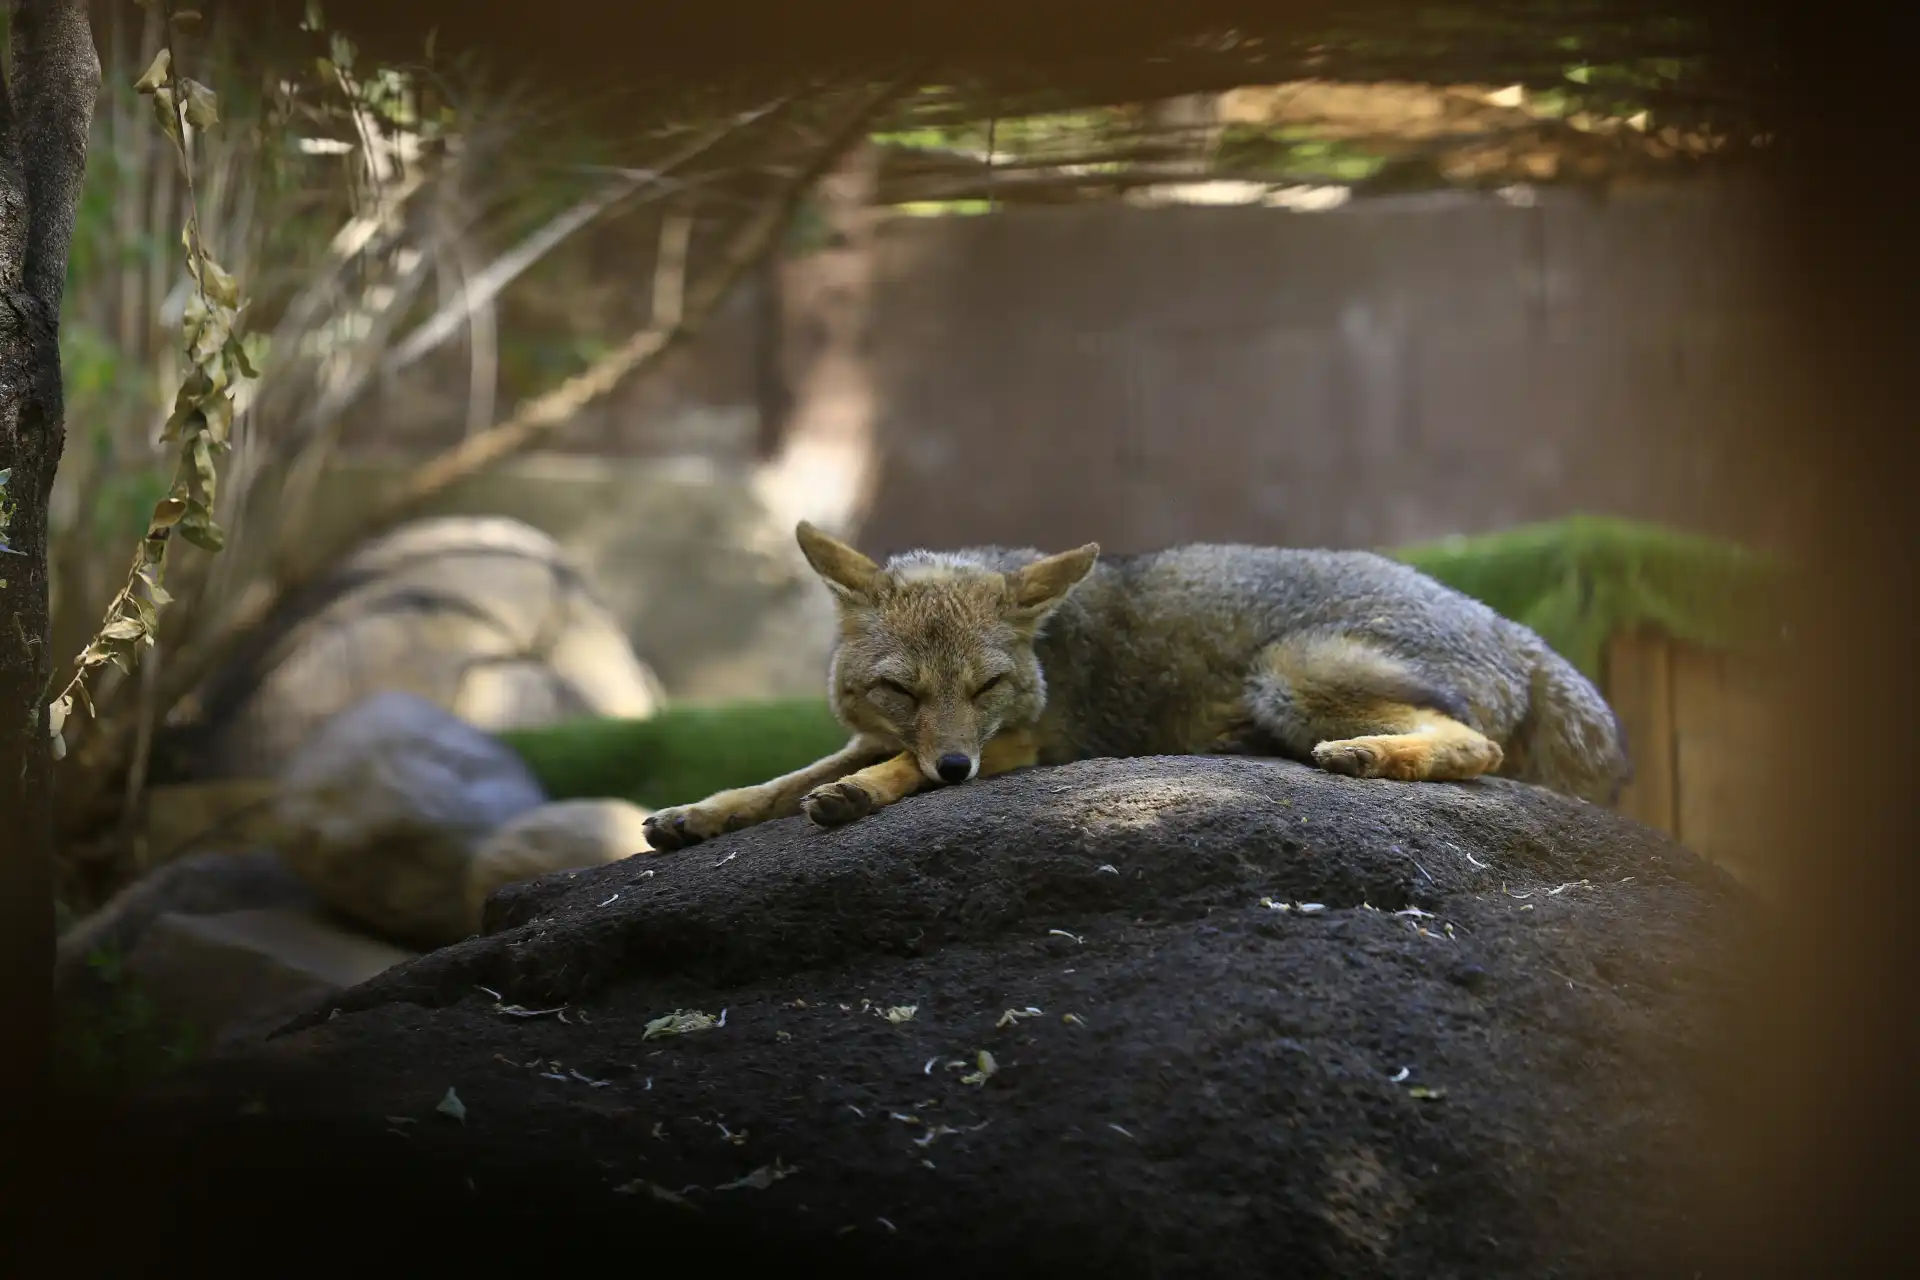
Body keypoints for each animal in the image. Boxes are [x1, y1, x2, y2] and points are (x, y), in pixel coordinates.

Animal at [641, 522, 1632, 850]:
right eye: (902, 691)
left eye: (989, 686)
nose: (958, 768)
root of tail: (1513, 626)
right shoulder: (874, 733)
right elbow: (775, 783)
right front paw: (696, 814)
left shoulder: (1024, 742)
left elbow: (878, 778)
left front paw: (858, 796)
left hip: (1288, 669)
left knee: (1479, 747)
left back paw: (1364, 756)